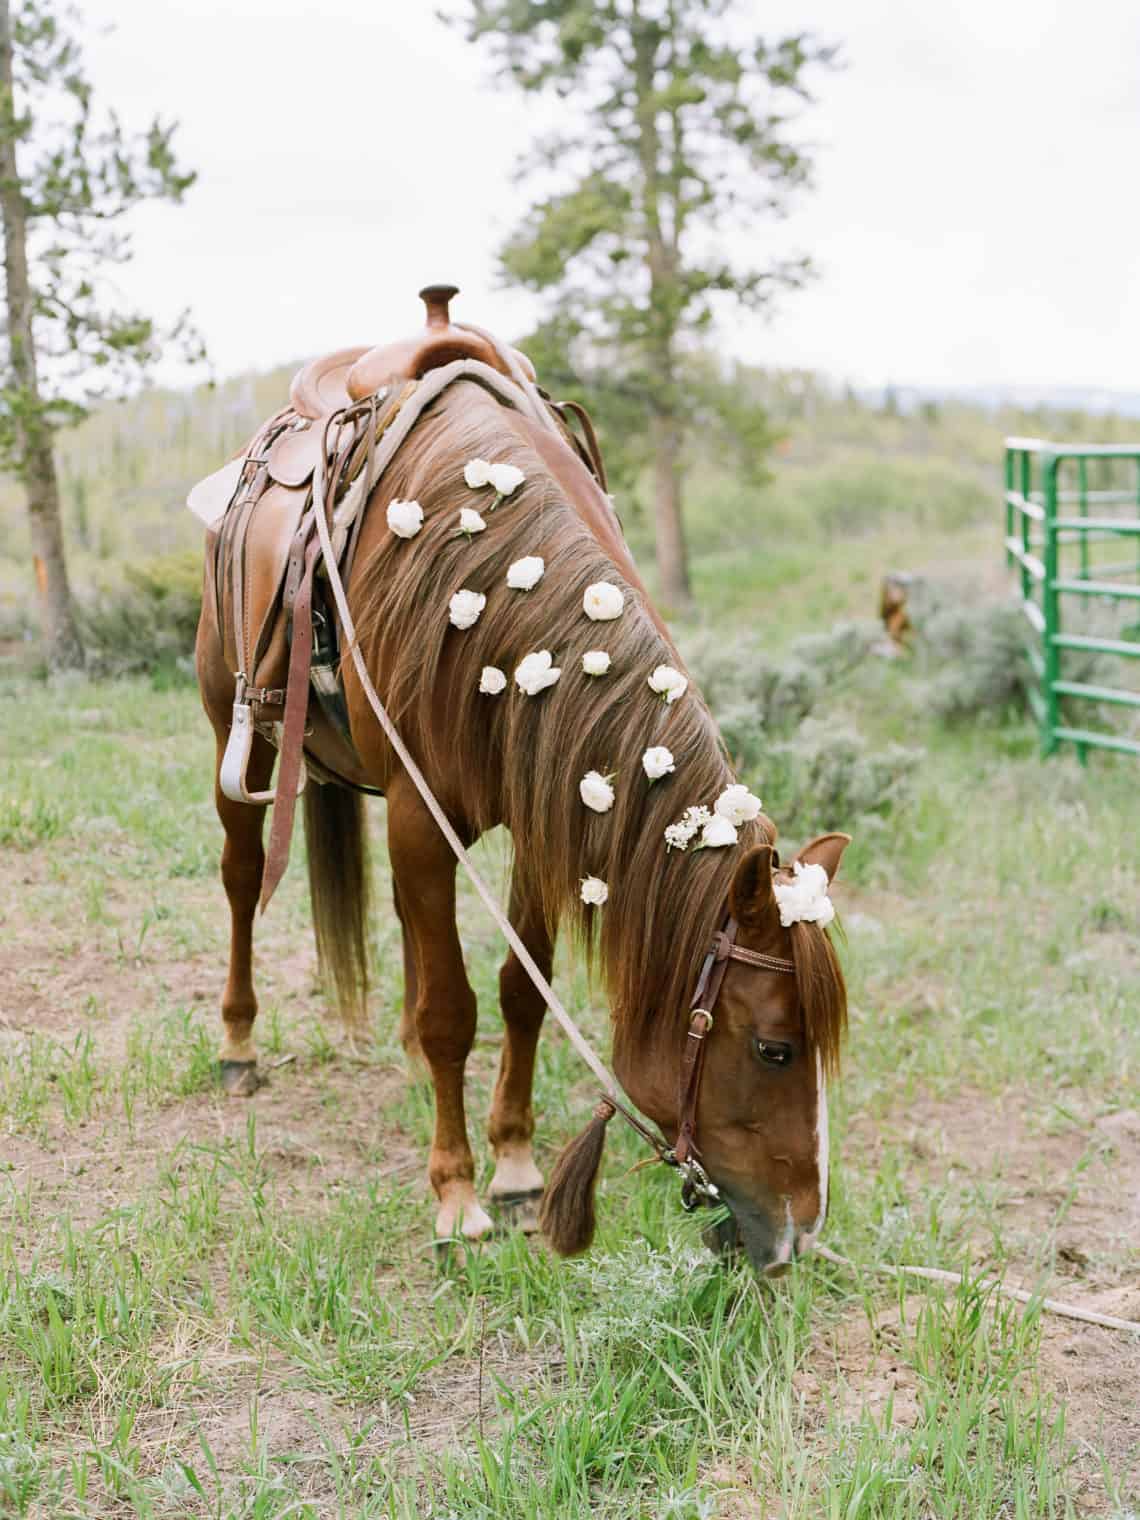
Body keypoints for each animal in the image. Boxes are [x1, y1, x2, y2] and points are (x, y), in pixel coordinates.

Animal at [194, 376, 851, 1270]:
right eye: (775, 1050)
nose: (798, 1236)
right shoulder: (420, 820)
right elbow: (451, 1011)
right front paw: (458, 1195)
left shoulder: (543, 820)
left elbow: (519, 994)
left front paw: (512, 1165)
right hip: (237, 737)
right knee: (239, 878)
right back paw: (238, 1046)